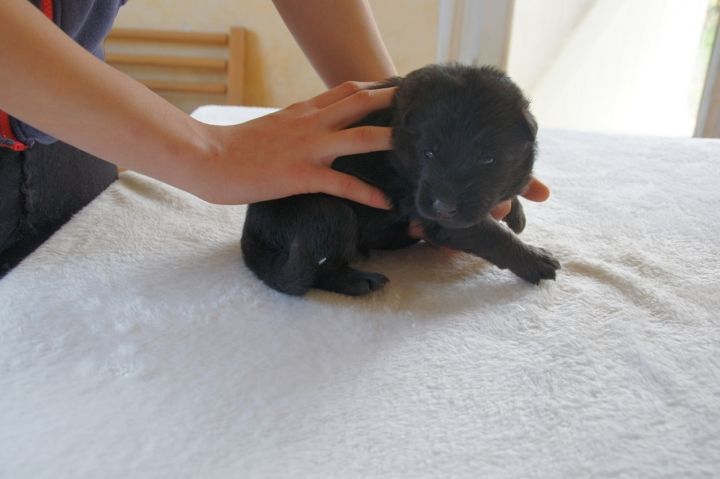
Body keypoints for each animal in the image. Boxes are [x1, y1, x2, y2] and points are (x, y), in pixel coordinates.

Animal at [241, 63, 560, 296]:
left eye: (488, 159)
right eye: (428, 152)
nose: (444, 207)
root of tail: (251, 234)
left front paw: (516, 211)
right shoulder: (435, 215)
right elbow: (490, 234)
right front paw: (534, 259)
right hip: (328, 213)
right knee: (319, 270)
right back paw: (359, 282)